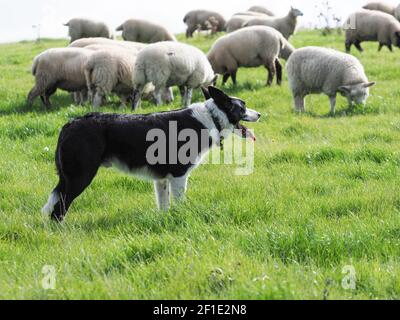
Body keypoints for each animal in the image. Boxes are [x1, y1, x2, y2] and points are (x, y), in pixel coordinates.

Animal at [42, 87, 260, 222]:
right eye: (242, 107)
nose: (259, 114)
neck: (212, 118)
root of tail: (70, 124)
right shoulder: (179, 175)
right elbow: (179, 202)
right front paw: (181, 218)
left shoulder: (161, 180)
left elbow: (164, 205)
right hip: (80, 177)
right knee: (58, 211)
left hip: (68, 179)